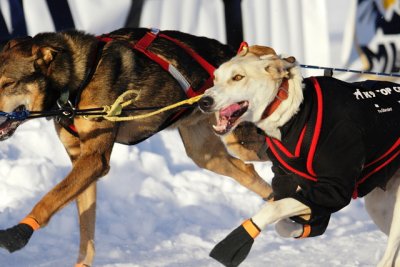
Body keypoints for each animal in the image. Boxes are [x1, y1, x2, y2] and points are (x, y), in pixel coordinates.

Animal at [0, 28, 272, 266]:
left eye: (8, 83)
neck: (79, 78)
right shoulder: (81, 162)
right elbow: (86, 230)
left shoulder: (94, 160)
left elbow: (48, 199)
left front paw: (19, 232)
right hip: (207, 154)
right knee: (249, 173)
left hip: (245, 139)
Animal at [199, 45, 400, 266]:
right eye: (215, 78)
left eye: (237, 77)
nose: (204, 101)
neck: (293, 114)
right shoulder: (289, 183)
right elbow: (283, 219)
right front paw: (303, 225)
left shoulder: (333, 190)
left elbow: (272, 209)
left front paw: (236, 241)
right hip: (379, 208)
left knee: (388, 257)